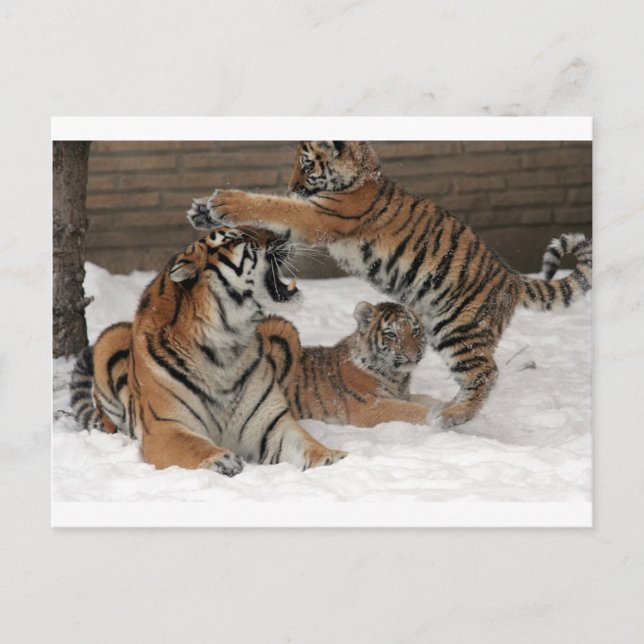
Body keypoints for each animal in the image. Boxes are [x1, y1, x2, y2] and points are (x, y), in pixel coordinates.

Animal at [70, 225, 347, 475]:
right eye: (239, 238)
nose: (286, 233)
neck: (225, 343)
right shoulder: (164, 426)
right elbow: (192, 445)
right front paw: (221, 460)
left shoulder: (270, 423)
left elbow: (304, 442)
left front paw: (331, 457)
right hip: (109, 338)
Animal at [258, 301, 438, 427]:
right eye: (392, 335)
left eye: (415, 331)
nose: (412, 355)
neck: (397, 377)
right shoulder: (370, 407)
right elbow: (411, 410)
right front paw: (440, 417)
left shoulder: (401, 396)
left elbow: (426, 400)